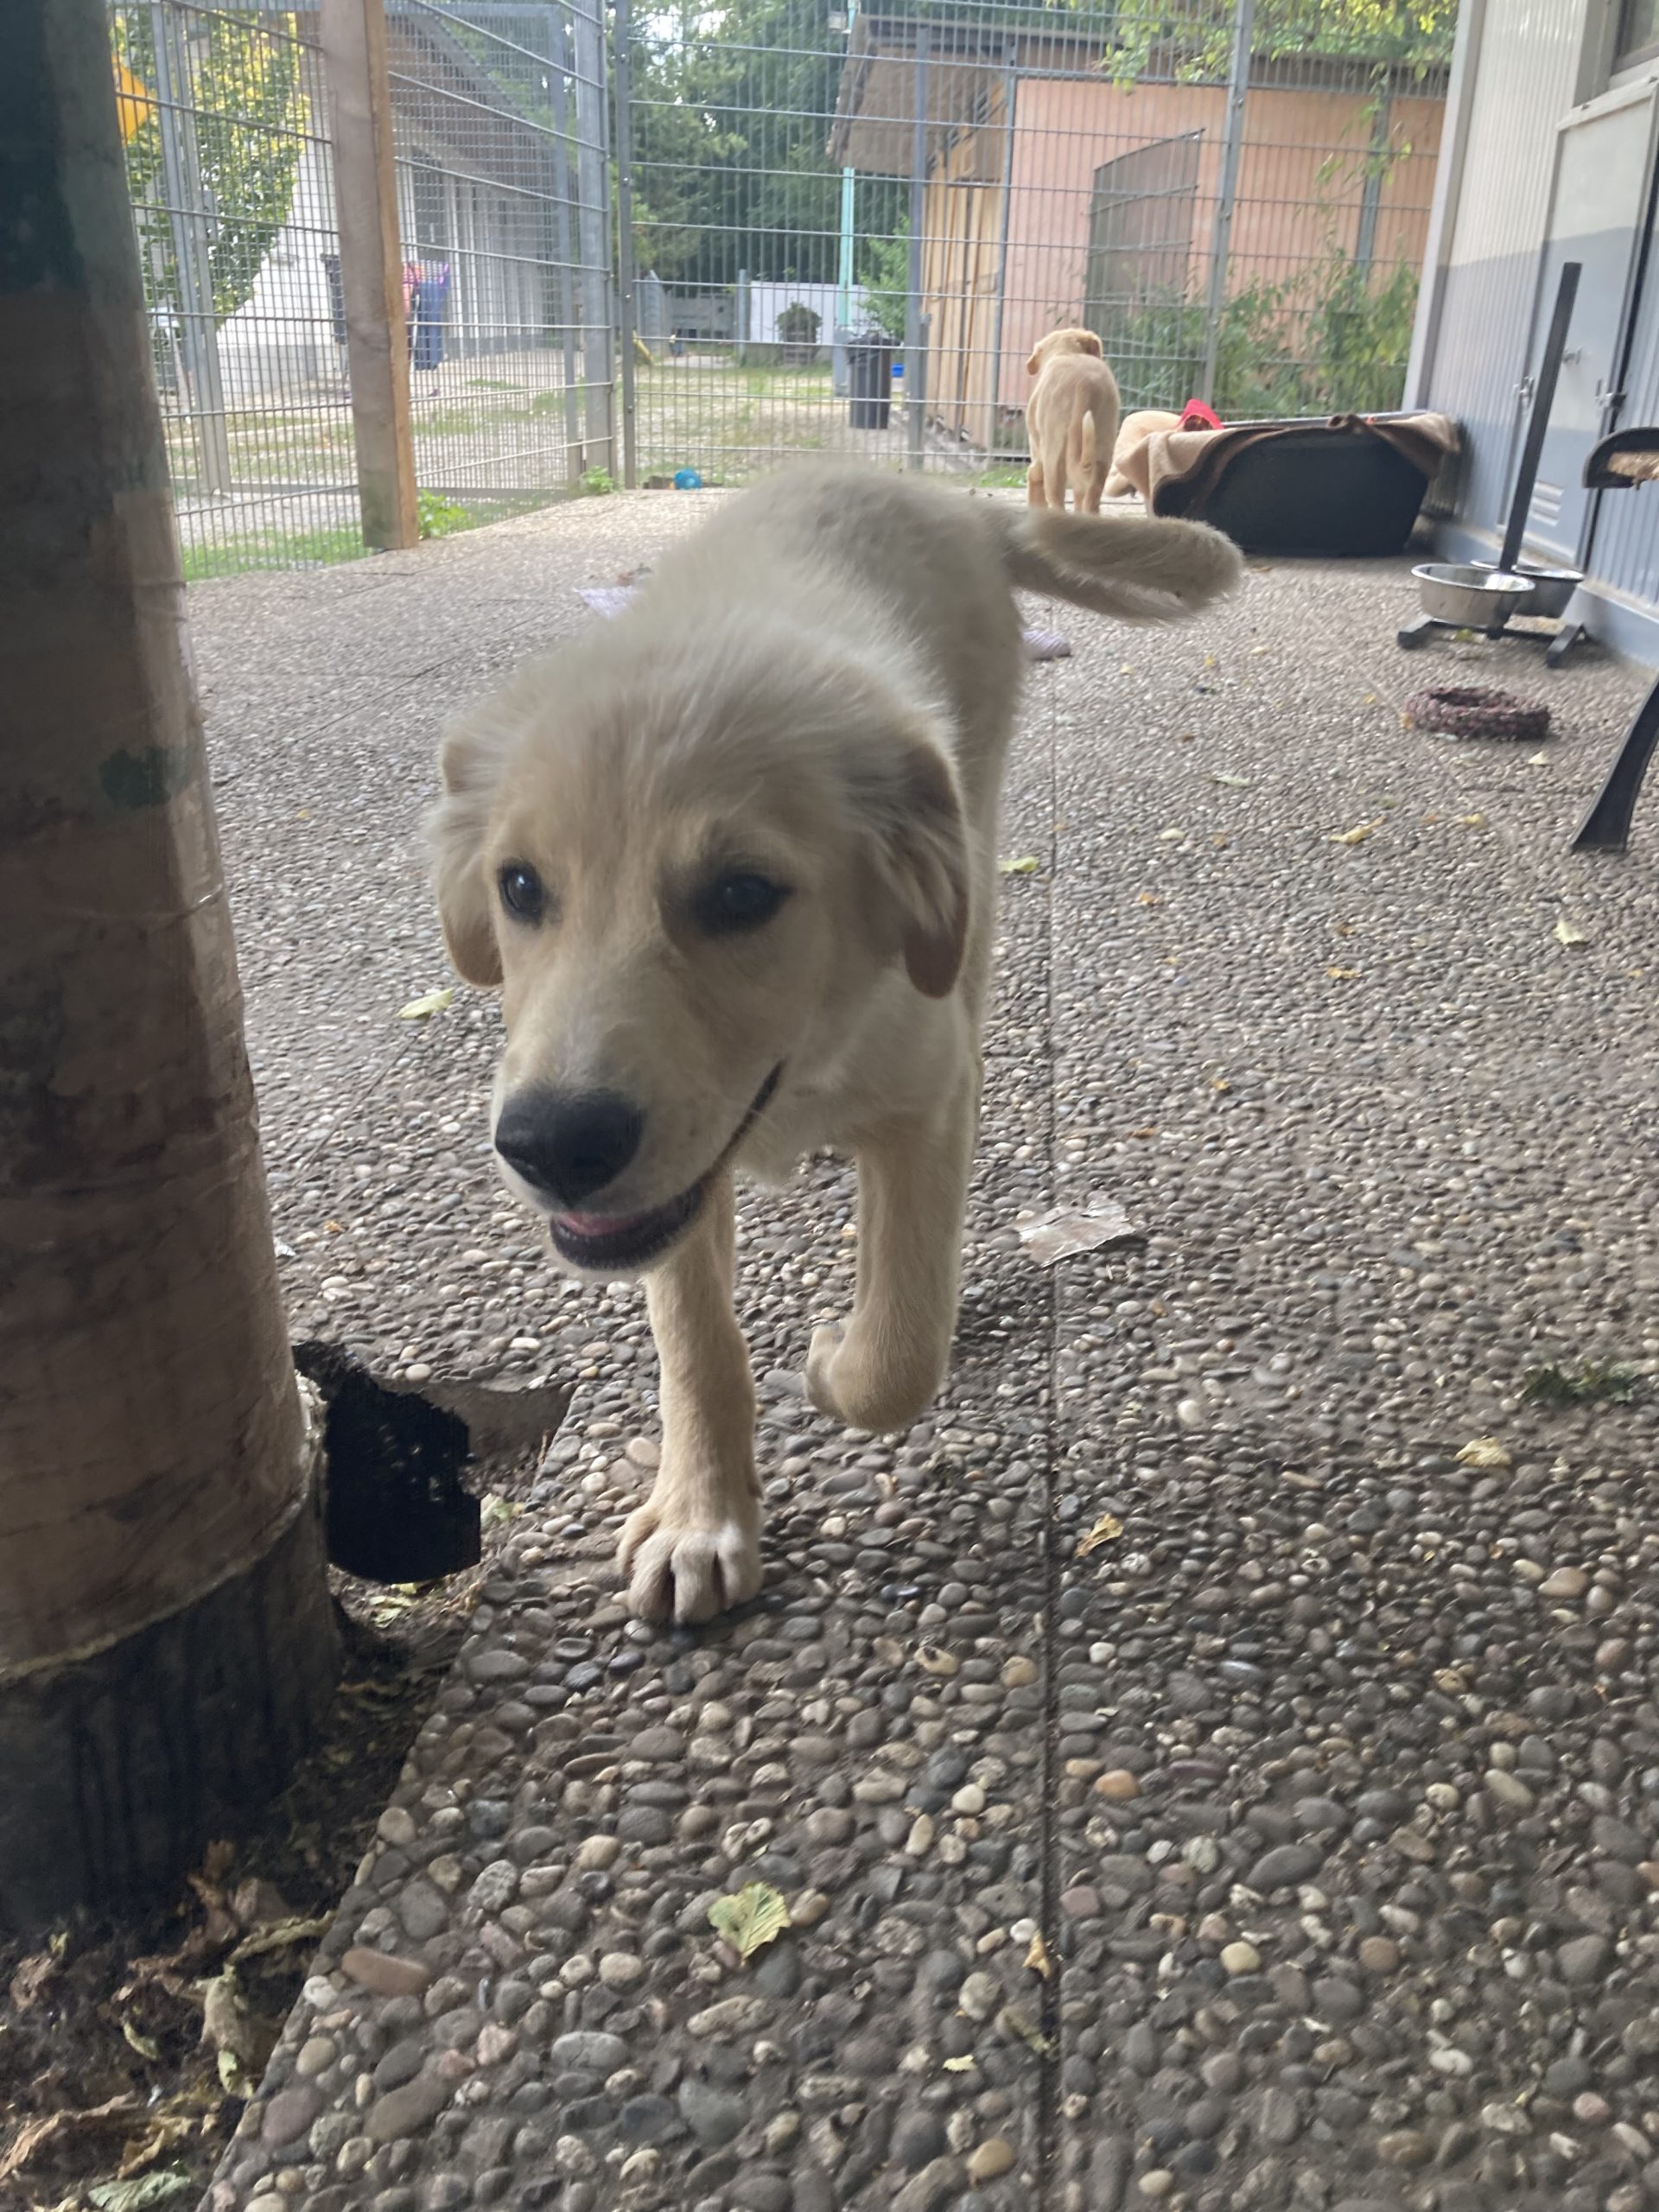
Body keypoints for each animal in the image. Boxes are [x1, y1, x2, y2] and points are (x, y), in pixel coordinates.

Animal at [428, 464, 1240, 1624]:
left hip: (973, 846)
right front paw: (700, 1518)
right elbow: (697, 1344)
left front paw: (827, 1361)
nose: (549, 1146)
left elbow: (900, 1348)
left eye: (742, 894)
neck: (805, 1058)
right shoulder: (670, 1190)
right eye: (522, 886)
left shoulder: (926, 1097)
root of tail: (937, 494)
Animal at [1025, 327, 1122, 514]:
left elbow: (1034, 476)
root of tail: (1084, 385)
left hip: (1053, 454)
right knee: (1090, 501)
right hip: (1103, 449)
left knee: (1056, 500)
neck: (1066, 351)